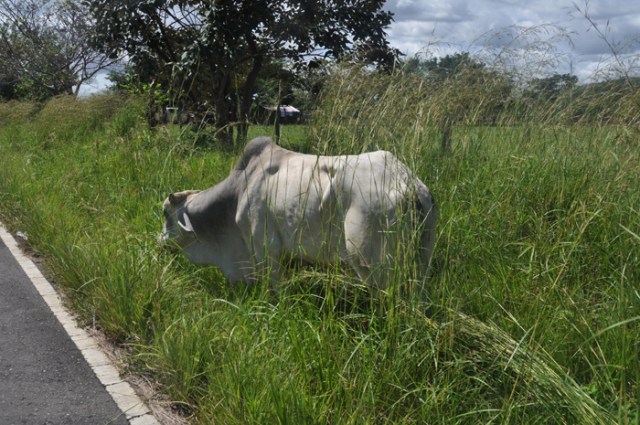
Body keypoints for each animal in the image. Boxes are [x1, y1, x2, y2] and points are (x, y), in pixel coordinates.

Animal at [160, 136, 437, 294]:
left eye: (165, 213)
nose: (160, 241)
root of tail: (409, 184)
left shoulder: (265, 250)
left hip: (371, 264)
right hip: (423, 260)